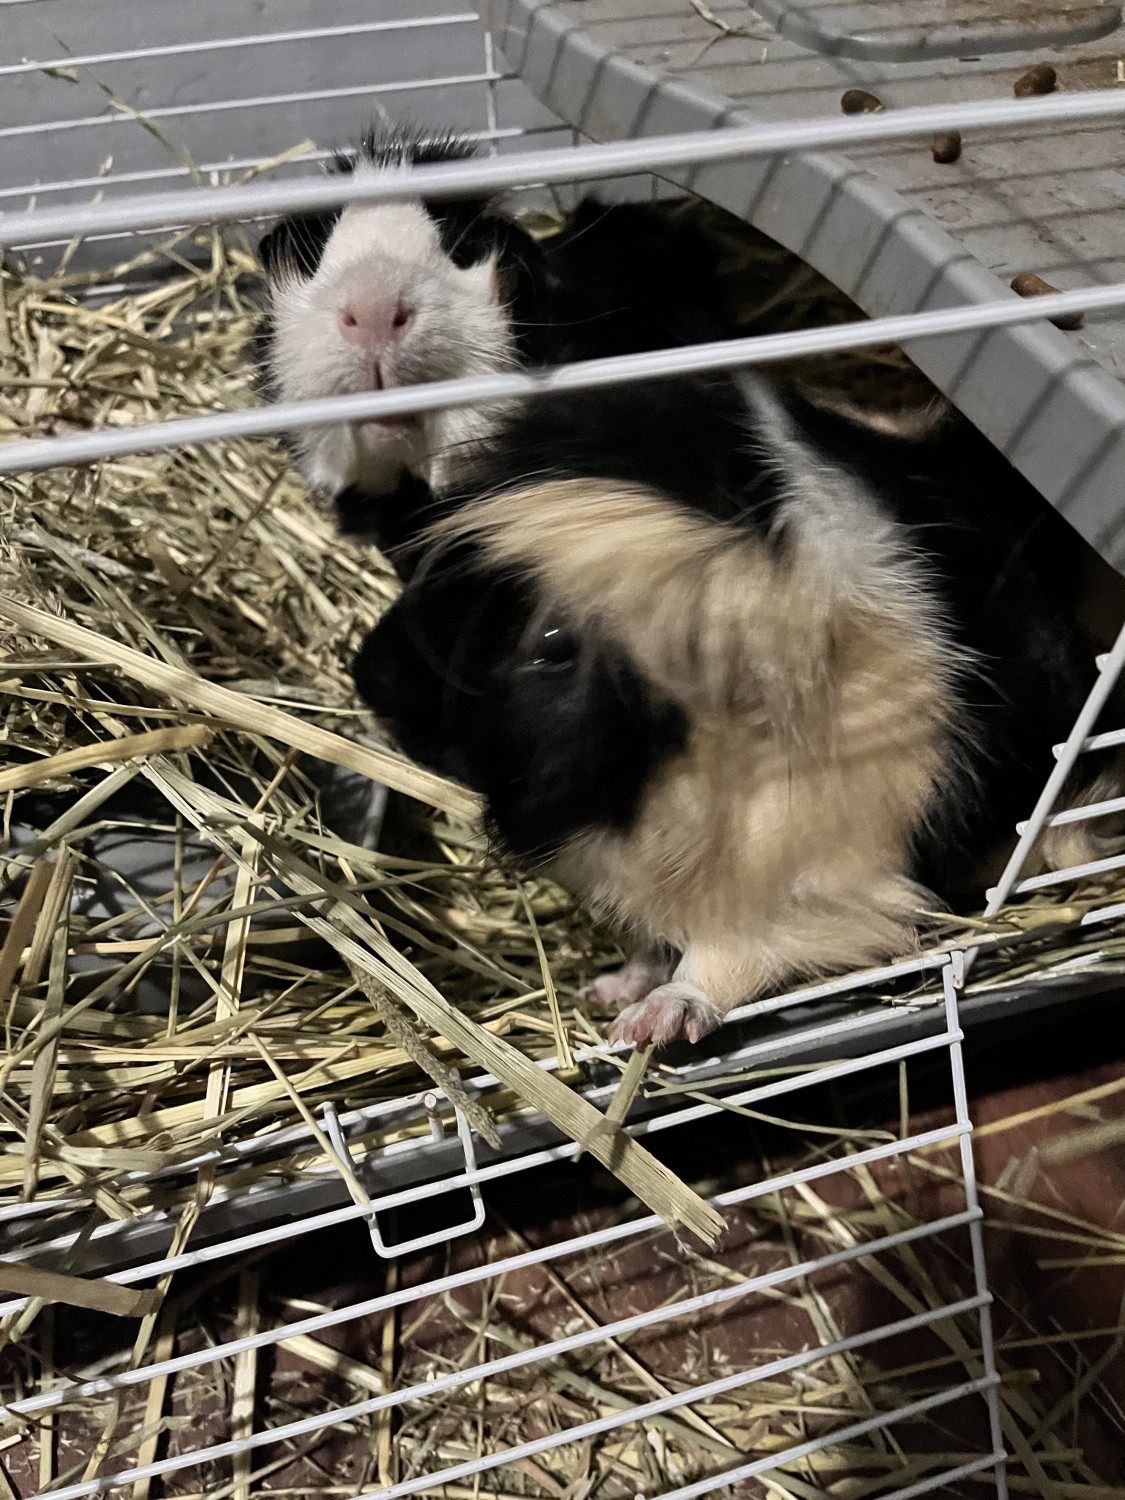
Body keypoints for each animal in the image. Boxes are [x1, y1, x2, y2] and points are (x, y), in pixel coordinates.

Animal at [353, 370, 1124, 1048]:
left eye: (550, 647)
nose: (369, 679)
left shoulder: (803, 890)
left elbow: (718, 965)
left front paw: (645, 1026)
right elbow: (651, 944)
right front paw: (611, 990)